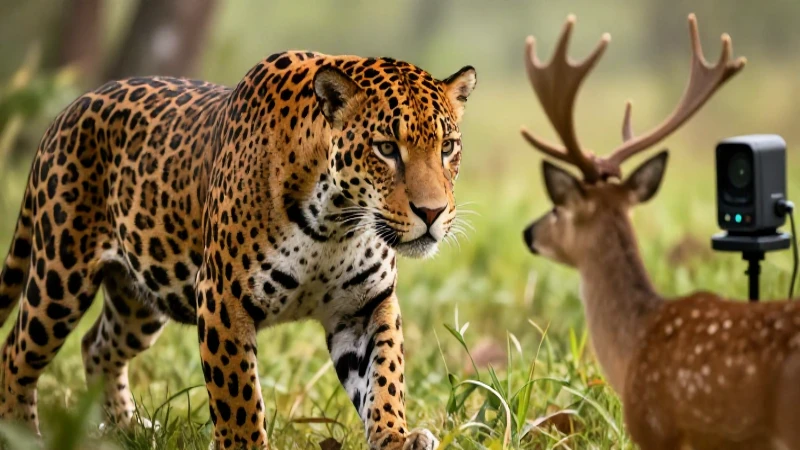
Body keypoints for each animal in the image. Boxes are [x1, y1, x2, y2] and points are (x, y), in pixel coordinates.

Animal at [0, 50, 476, 449]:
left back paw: (127, 429)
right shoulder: (220, 298)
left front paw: (396, 437)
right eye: (386, 149)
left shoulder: (366, 306)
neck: (335, 224)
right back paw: (24, 434)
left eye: (448, 147)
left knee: (97, 347)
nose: (432, 212)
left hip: (142, 295)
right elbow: (238, 396)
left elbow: (384, 378)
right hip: (60, 277)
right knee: (17, 353)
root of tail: (69, 109)